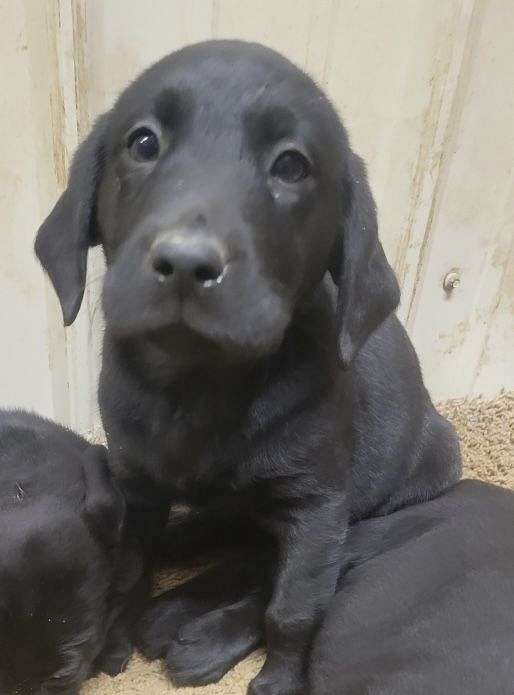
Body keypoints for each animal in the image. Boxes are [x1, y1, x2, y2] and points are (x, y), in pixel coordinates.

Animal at [36, 39, 460, 695]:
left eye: (291, 167)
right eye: (143, 143)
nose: (186, 263)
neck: (200, 383)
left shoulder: (316, 505)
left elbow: (294, 607)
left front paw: (280, 678)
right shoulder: (137, 486)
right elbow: (129, 571)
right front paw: (114, 642)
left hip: (415, 476)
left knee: (270, 564)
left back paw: (199, 635)